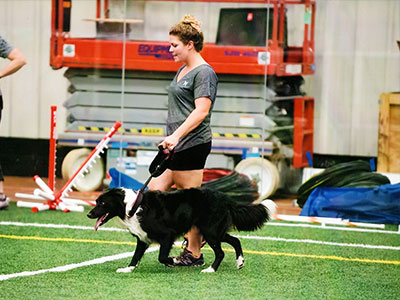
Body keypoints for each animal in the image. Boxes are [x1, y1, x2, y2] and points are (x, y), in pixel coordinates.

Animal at [87, 183, 276, 272]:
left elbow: (162, 257)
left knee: (221, 252)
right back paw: (240, 262)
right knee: (235, 240)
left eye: (102, 203)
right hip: (215, 230)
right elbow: (136, 256)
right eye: (96, 201)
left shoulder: (167, 235)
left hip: (210, 231)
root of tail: (225, 198)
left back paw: (211, 270)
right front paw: (128, 269)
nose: (89, 214)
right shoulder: (142, 238)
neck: (132, 206)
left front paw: (174, 262)